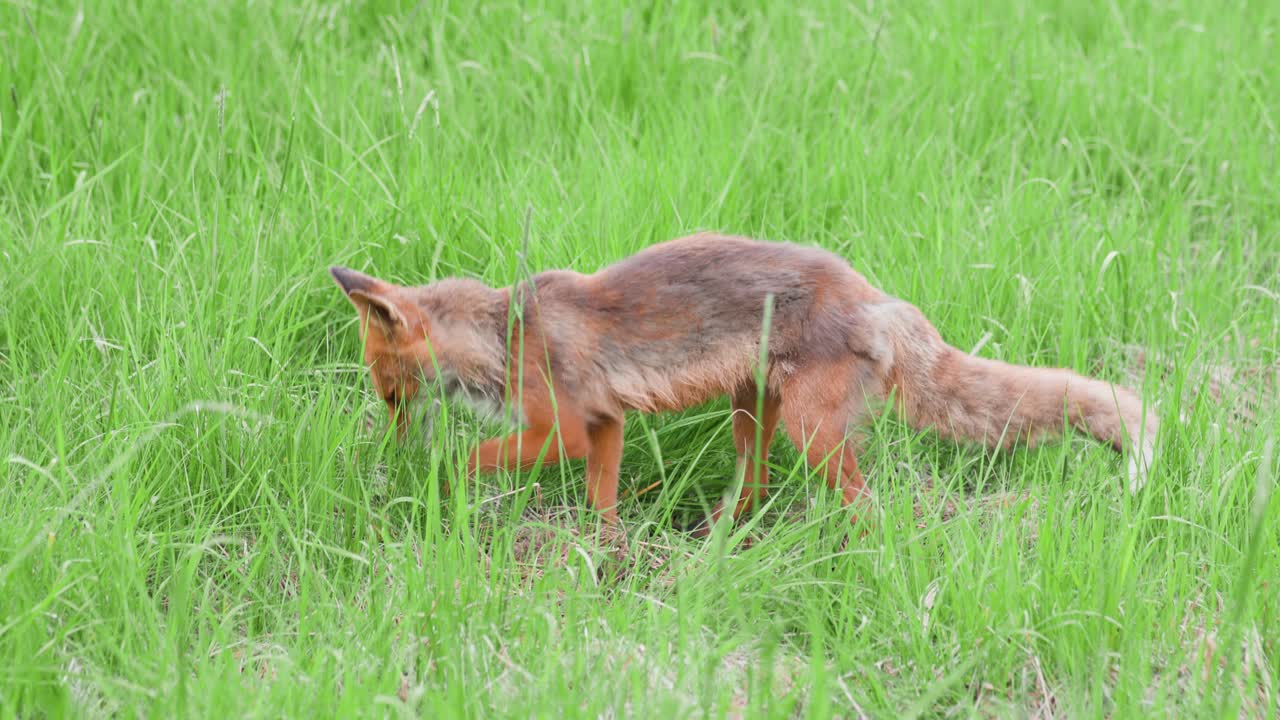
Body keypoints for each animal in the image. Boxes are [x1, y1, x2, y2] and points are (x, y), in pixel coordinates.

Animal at [330, 232, 1158, 532]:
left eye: (388, 393)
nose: (388, 450)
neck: (505, 331)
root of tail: (876, 297)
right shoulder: (605, 424)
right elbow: (602, 498)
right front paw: (604, 558)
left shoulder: (559, 427)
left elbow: (477, 458)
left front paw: (438, 483)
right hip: (751, 412)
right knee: (758, 487)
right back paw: (725, 540)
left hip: (806, 430)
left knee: (866, 505)